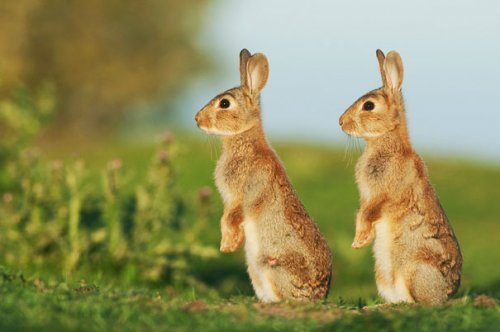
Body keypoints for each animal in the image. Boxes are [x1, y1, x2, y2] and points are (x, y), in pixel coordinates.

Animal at [194, 48, 332, 302]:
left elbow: (231, 217)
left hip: (271, 266)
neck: (244, 140)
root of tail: (318, 296)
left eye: (225, 103)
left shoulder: (243, 194)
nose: (197, 119)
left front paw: (227, 246)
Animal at [338, 48, 462, 304]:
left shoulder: (383, 195)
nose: (341, 122)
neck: (386, 141)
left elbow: (367, 213)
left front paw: (358, 242)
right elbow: (362, 213)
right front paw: (362, 241)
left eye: (368, 106)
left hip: (415, 271)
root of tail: (447, 294)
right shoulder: (367, 196)